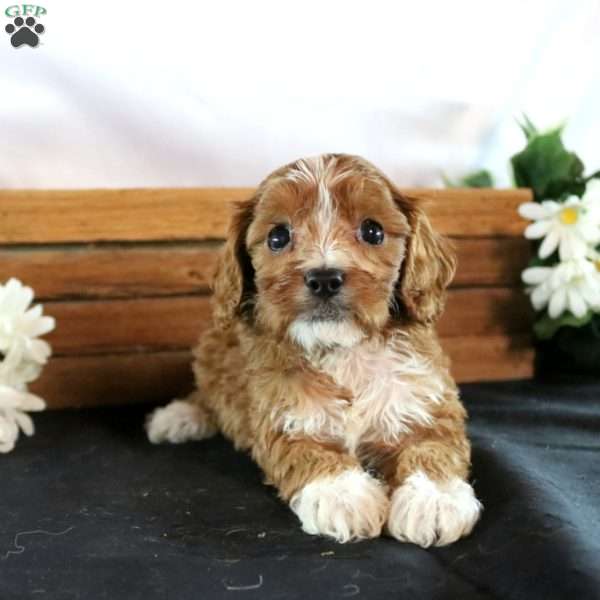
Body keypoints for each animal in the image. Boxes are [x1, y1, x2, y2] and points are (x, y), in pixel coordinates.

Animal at [148, 152, 486, 548]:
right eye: (278, 236)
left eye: (373, 231)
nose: (324, 278)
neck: (343, 348)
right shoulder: (285, 418)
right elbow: (313, 454)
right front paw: (343, 496)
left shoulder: (424, 401)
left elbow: (433, 446)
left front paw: (434, 500)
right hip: (212, 352)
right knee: (208, 395)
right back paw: (178, 417)